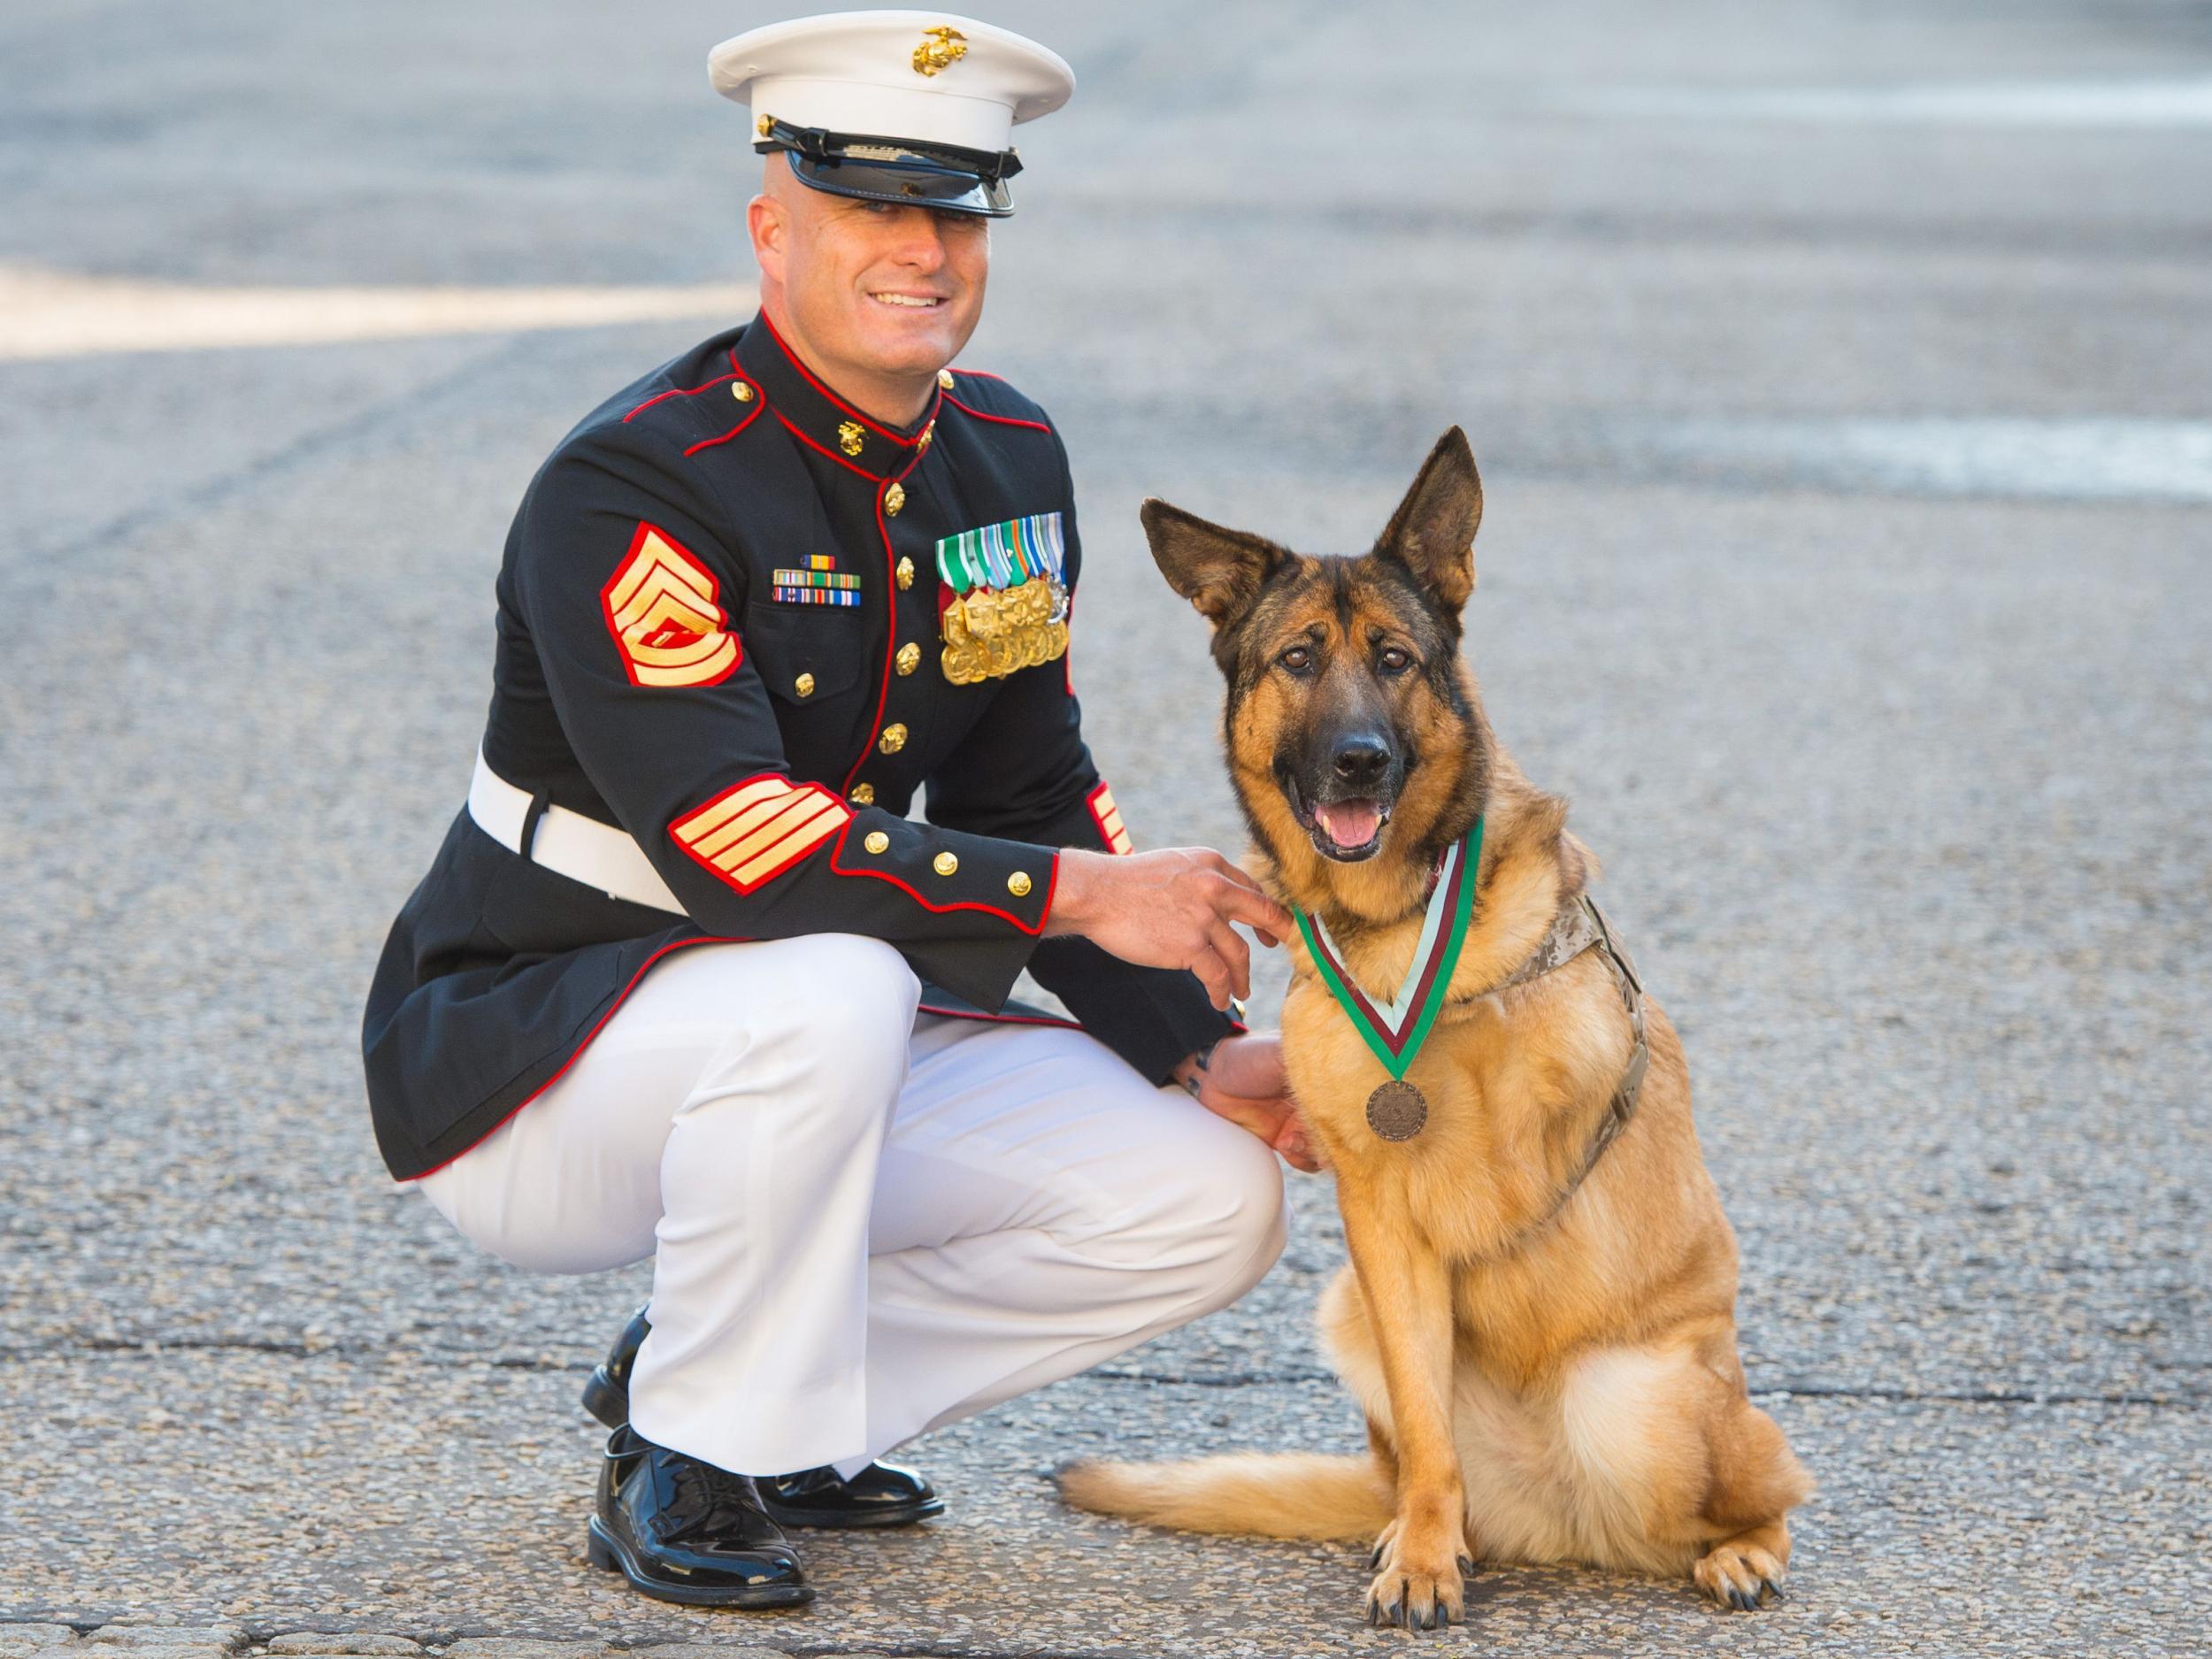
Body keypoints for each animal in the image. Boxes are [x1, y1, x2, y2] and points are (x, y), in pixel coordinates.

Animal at [1062, 431, 1805, 1637]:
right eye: (1299, 659)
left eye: (1397, 659)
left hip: (1638, 1397)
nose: (1360, 759)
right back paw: (1424, 1527)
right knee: (1417, 1460)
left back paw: (1741, 1549)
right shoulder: (1380, 1226)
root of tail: (1563, 1523)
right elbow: (1424, 1423)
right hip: (1351, 1319)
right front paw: (1420, 1557)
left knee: (1776, 1487)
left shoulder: (1521, 1139)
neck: (1393, 927)